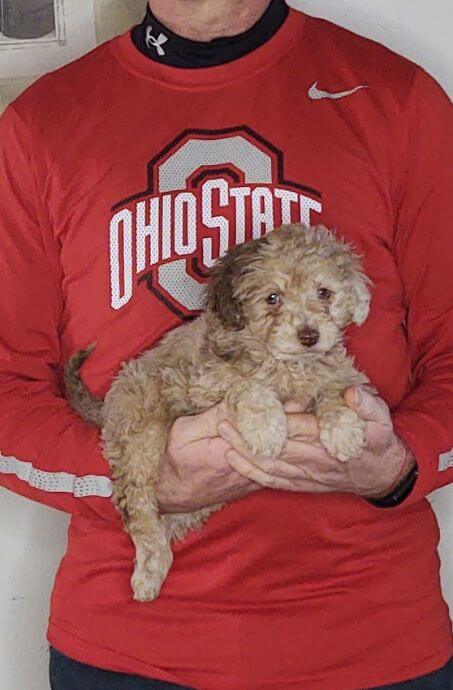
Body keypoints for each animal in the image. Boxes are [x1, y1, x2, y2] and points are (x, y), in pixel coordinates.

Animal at [66, 223, 370, 600]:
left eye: (324, 292)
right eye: (272, 298)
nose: (309, 336)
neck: (288, 363)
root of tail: (108, 405)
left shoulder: (337, 370)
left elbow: (336, 384)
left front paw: (343, 430)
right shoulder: (202, 382)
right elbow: (247, 385)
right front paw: (266, 428)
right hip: (141, 431)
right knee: (136, 504)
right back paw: (150, 570)